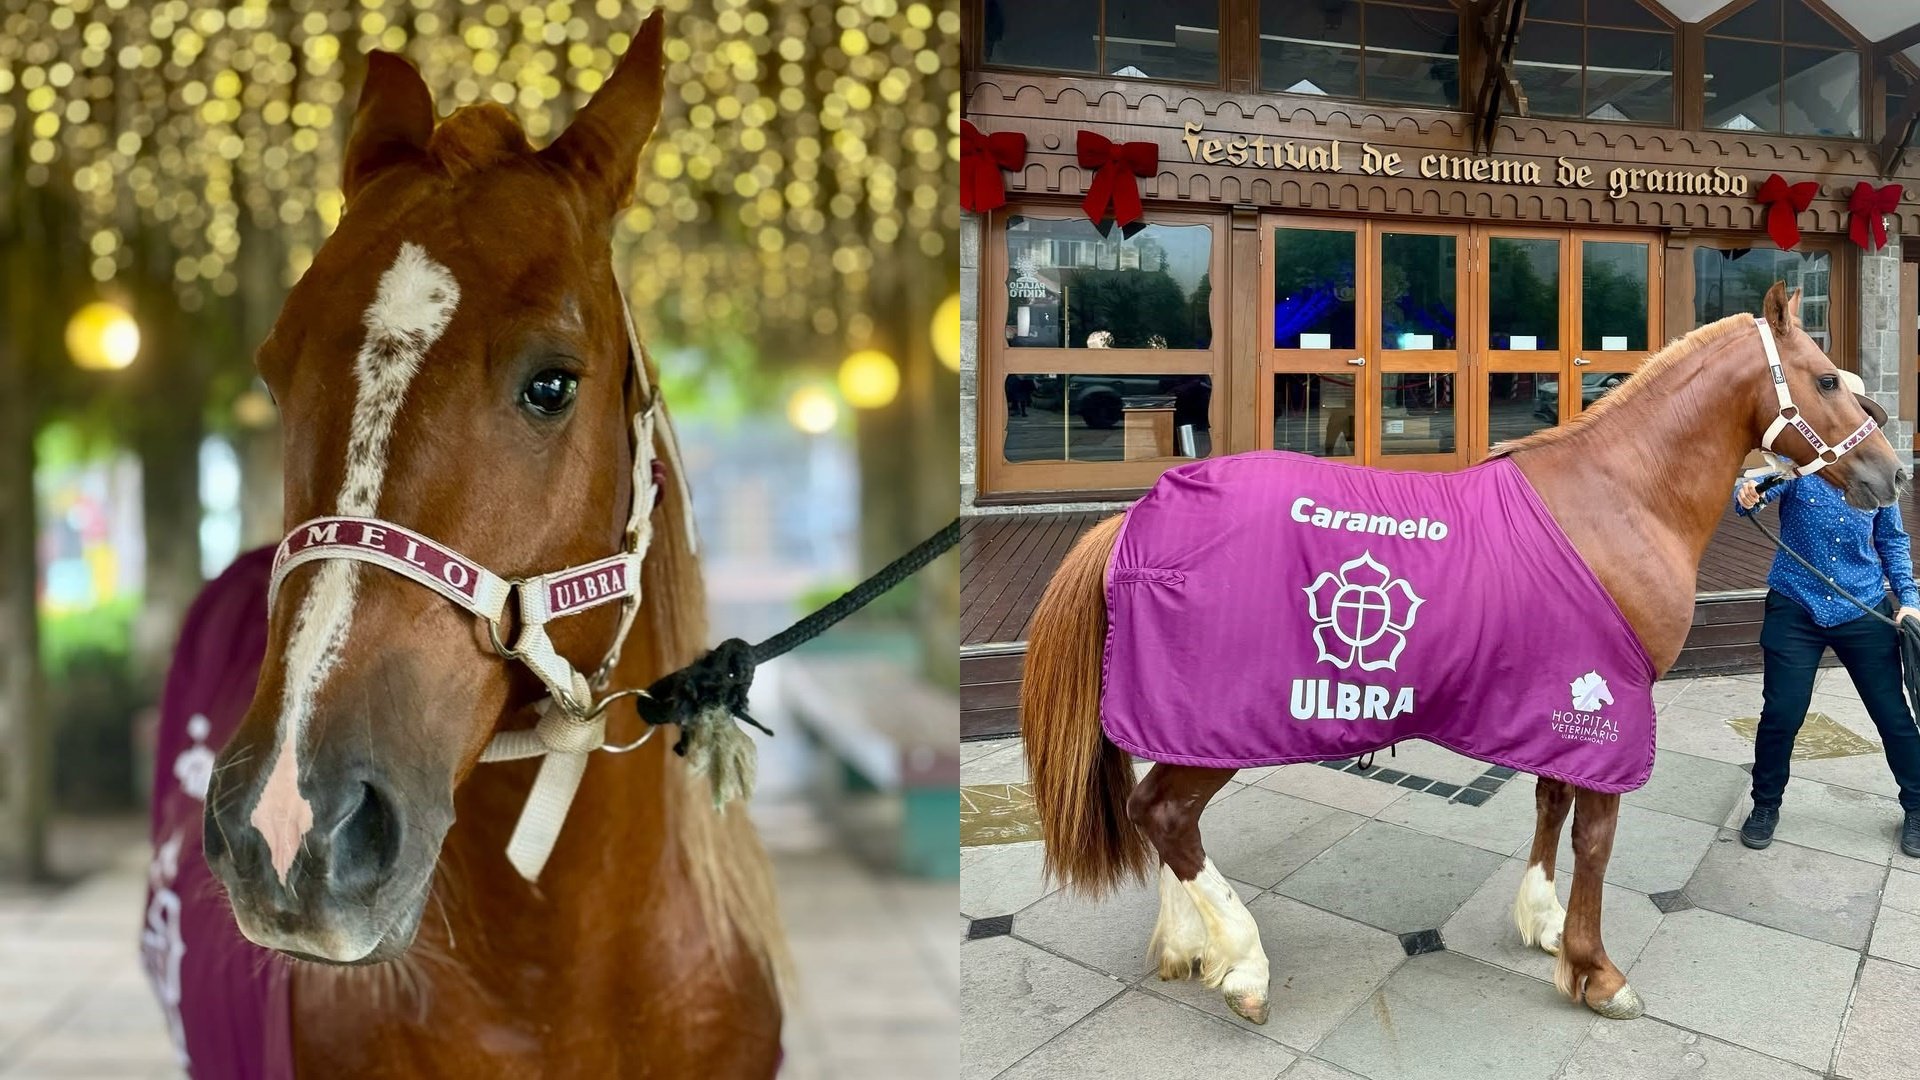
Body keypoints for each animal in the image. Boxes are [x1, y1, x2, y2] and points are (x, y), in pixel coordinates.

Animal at [1021, 282, 1904, 1022]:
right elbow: (1594, 838)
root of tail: (1135, 522)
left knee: (1159, 818)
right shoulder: (1612, 704)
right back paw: (1242, 963)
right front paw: (1596, 971)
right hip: (1219, 724)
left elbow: (1552, 804)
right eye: (1827, 380)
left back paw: (1189, 945)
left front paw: (1544, 924)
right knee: (1165, 815)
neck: (1619, 496)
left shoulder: (1564, 698)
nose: (1889, 475)